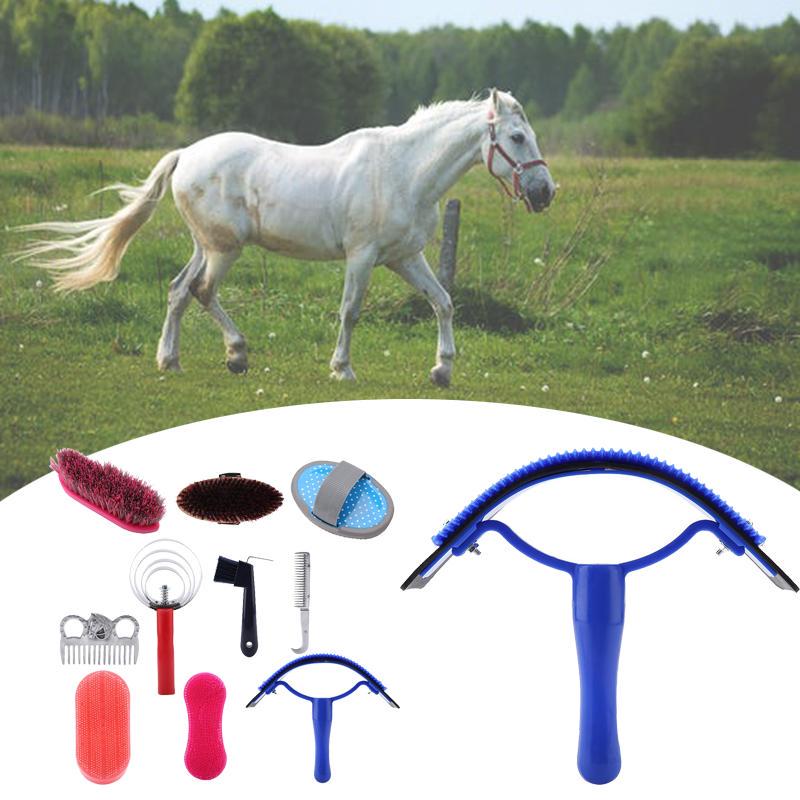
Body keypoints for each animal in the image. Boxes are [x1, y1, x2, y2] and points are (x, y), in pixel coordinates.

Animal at [14, 89, 555, 386]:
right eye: (516, 137)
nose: (545, 192)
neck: (403, 170)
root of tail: (186, 154)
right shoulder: (362, 257)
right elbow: (350, 311)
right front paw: (342, 369)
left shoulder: (406, 258)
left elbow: (443, 302)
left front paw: (442, 370)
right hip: (224, 249)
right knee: (201, 291)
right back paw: (236, 354)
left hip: (206, 245)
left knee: (178, 290)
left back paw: (170, 360)